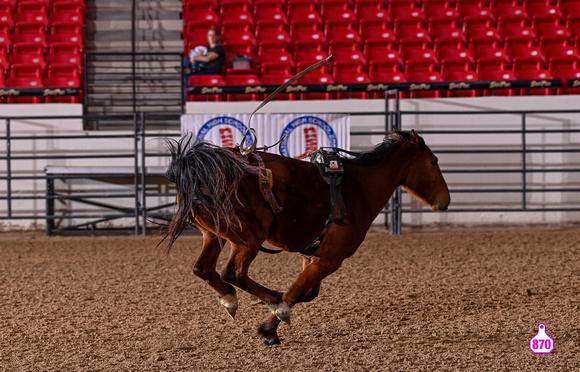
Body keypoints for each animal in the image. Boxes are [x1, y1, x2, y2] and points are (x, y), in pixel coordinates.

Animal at [161, 130, 450, 346]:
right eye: (434, 162)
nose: (445, 200)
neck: (359, 186)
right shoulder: (330, 259)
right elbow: (297, 290)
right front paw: (270, 327)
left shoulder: (312, 255)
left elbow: (306, 291)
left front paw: (269, 311)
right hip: (248, 237)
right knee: (233, 272)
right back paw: (270, 301)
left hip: (214, 234)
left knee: (203, 269)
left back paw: (232, 299)